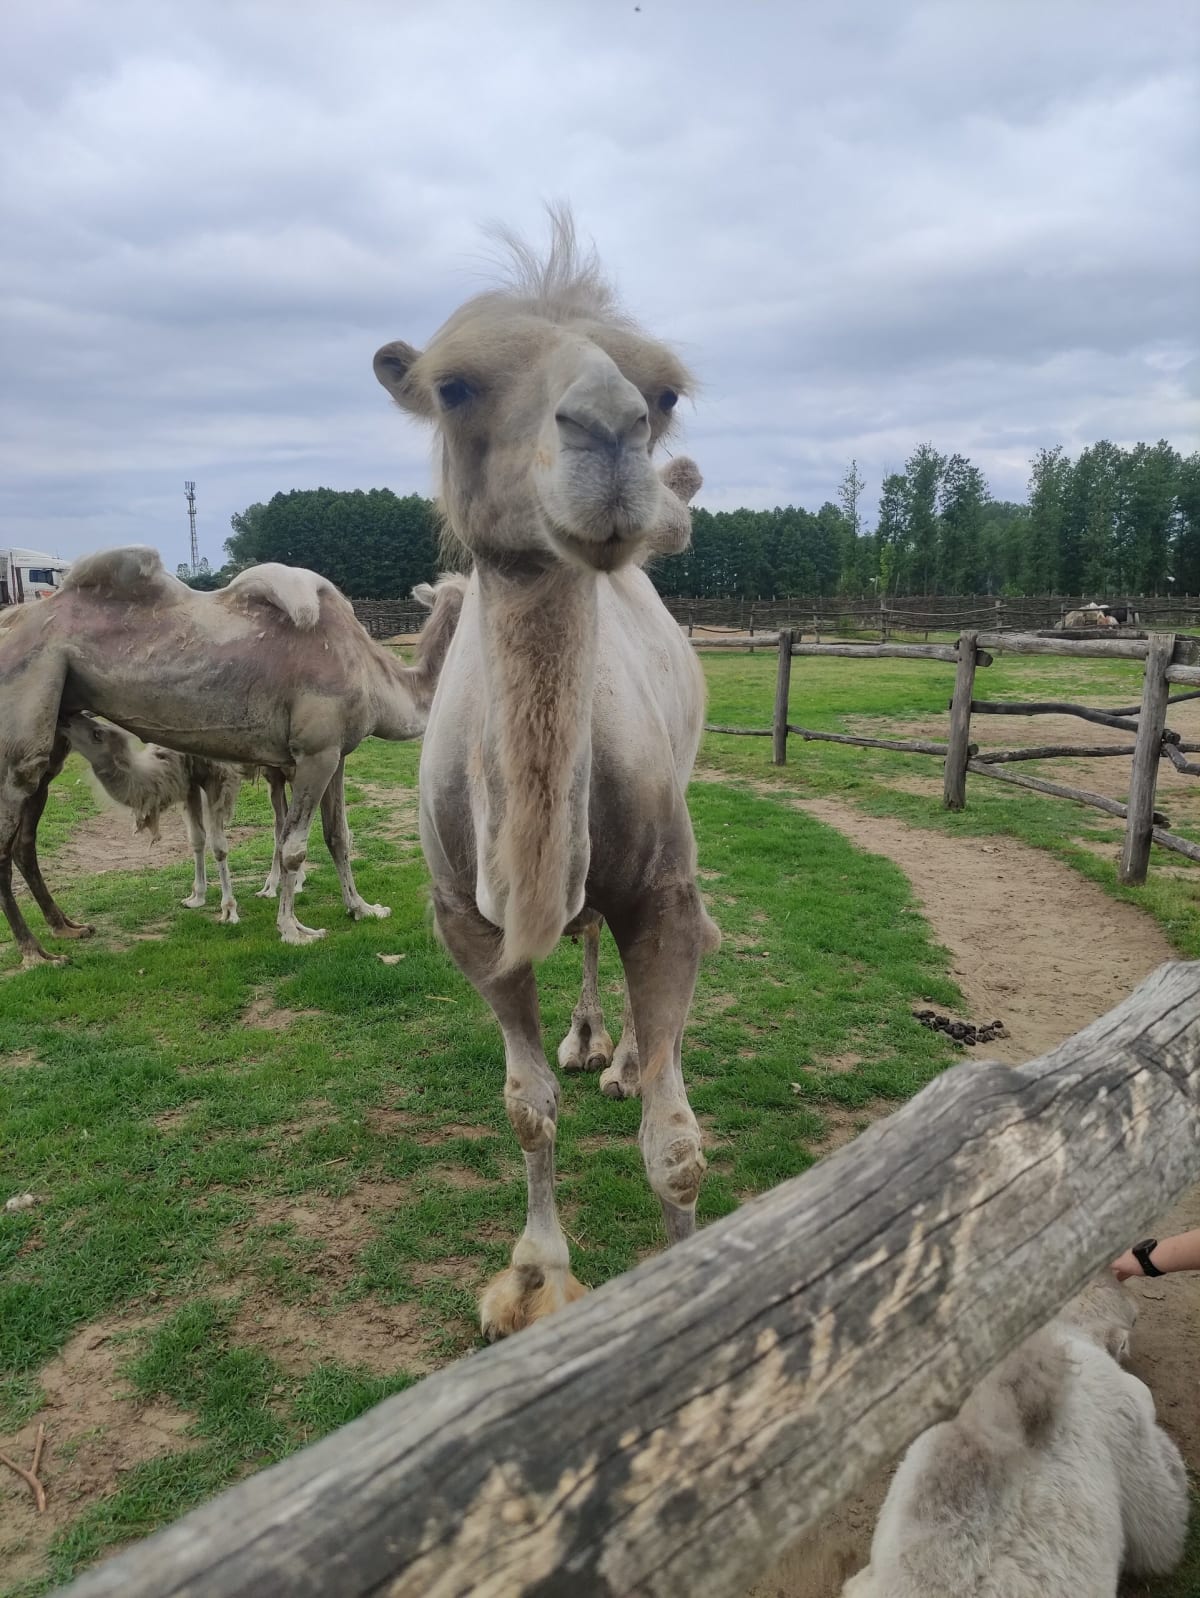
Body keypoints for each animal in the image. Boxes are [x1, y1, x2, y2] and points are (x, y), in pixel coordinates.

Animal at [0, 556, 465, 967]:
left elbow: (338, 836)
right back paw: (35, 953)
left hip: (53, 732)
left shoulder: (336, 754)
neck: (378, 677)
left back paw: (67, 928)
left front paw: (362, 908)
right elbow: (293, 847)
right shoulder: (314, 753)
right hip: (22, 733)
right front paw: (293, 929)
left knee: (24, 838)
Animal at [374, 209, 718, 1338]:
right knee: (587, 936)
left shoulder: (665, 888)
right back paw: (589, 1039)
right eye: (454, 386)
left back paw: (625, 1056)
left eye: (663, 395)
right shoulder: (465, 917)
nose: (608, 429)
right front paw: (531, 1281)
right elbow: (527, 1108)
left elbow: (676, 1147)